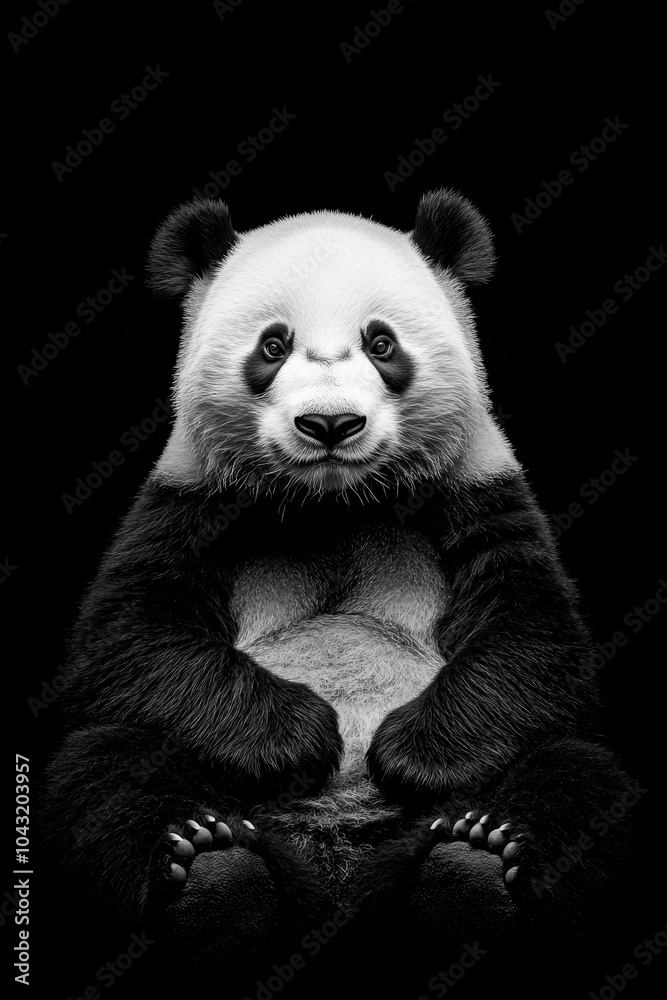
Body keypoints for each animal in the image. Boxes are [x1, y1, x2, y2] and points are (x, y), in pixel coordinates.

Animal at [44, 189, 636, 977]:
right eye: (272, 346)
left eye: (381, 344)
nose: (329, 423)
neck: (333, 500)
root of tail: (339, 888)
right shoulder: (187, 499)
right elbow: (132, 640)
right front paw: (299, 737)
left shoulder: (477, 488)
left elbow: (533, 636)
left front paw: (410, 752)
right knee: (105, 772)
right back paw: (213, 871)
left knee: (575, 778)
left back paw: (471, 865)